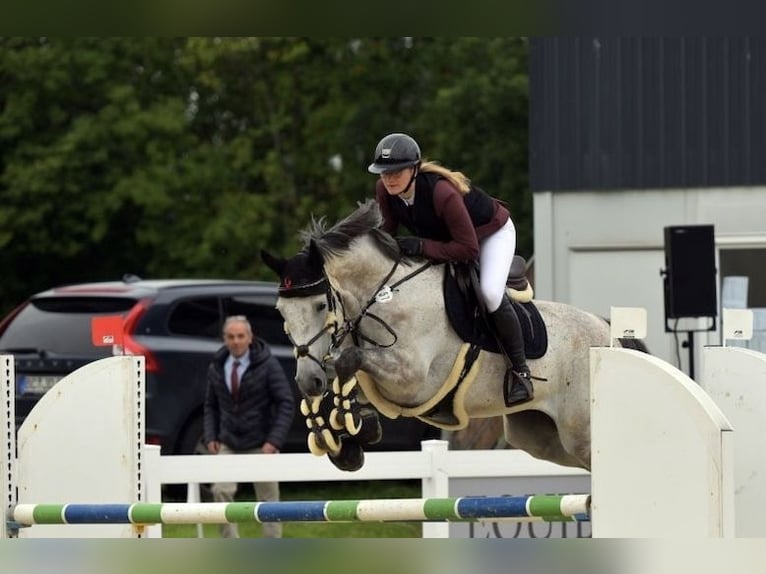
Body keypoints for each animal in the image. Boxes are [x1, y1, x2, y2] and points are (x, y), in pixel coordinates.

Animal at [264, 200, 616, 474]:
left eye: (321, 305)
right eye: (281, 311)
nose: (308, 380)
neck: (383, 295)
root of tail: (606, 331)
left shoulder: (413, 381)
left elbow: (348, 361)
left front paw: (348, 425)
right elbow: (343, 372)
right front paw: (346, 439)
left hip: (579, 432)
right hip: (539, 436)